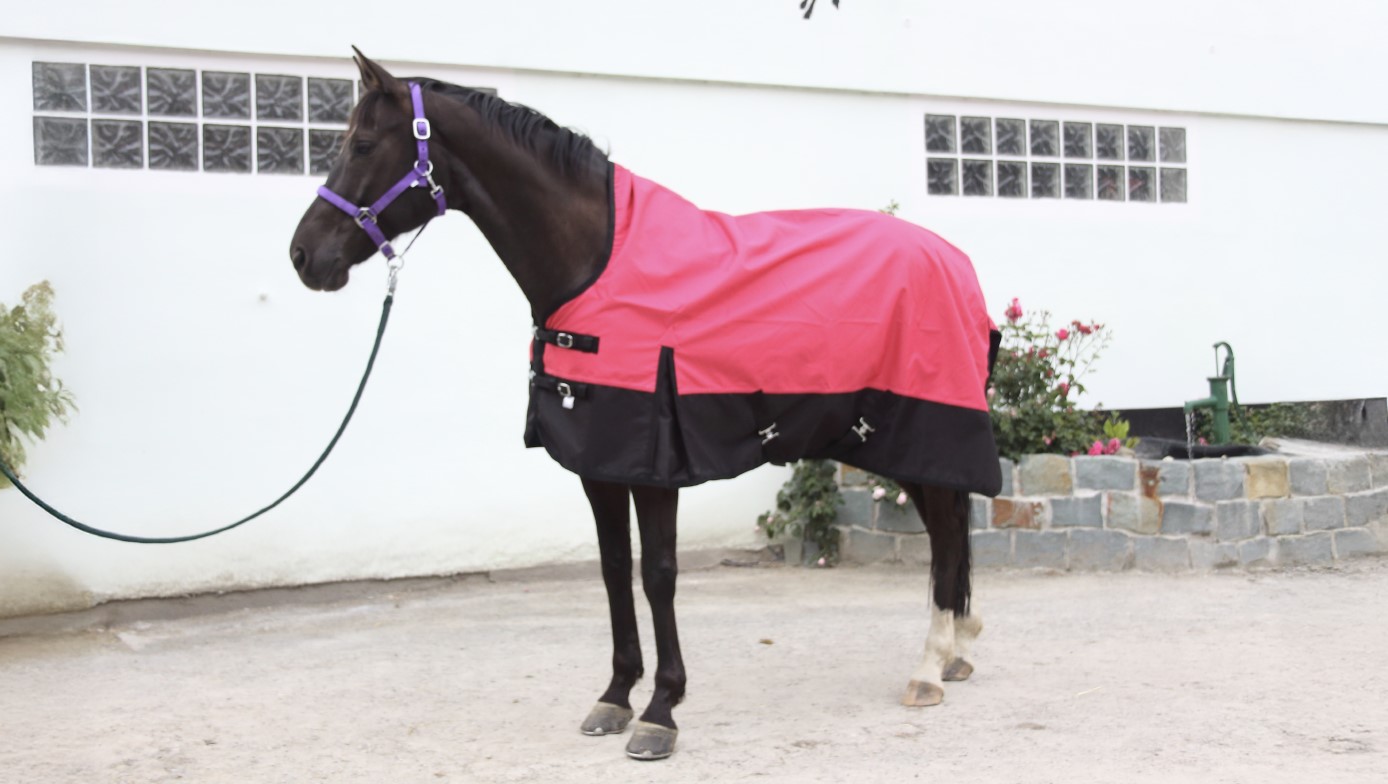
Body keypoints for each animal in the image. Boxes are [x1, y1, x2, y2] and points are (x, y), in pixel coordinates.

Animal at [289, 50, 1001, 761]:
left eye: (361, 144)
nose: (303, 255)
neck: (595, 263)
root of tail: (956, 260)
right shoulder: (597, 461)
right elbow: (613, 570)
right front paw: (613, 696)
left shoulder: (656, 463)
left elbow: (658, 573)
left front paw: (662, 710)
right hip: (889, 438)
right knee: (946, 528)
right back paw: (957, 649)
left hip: (925, 424)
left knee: (945, 530)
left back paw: (928, 667)